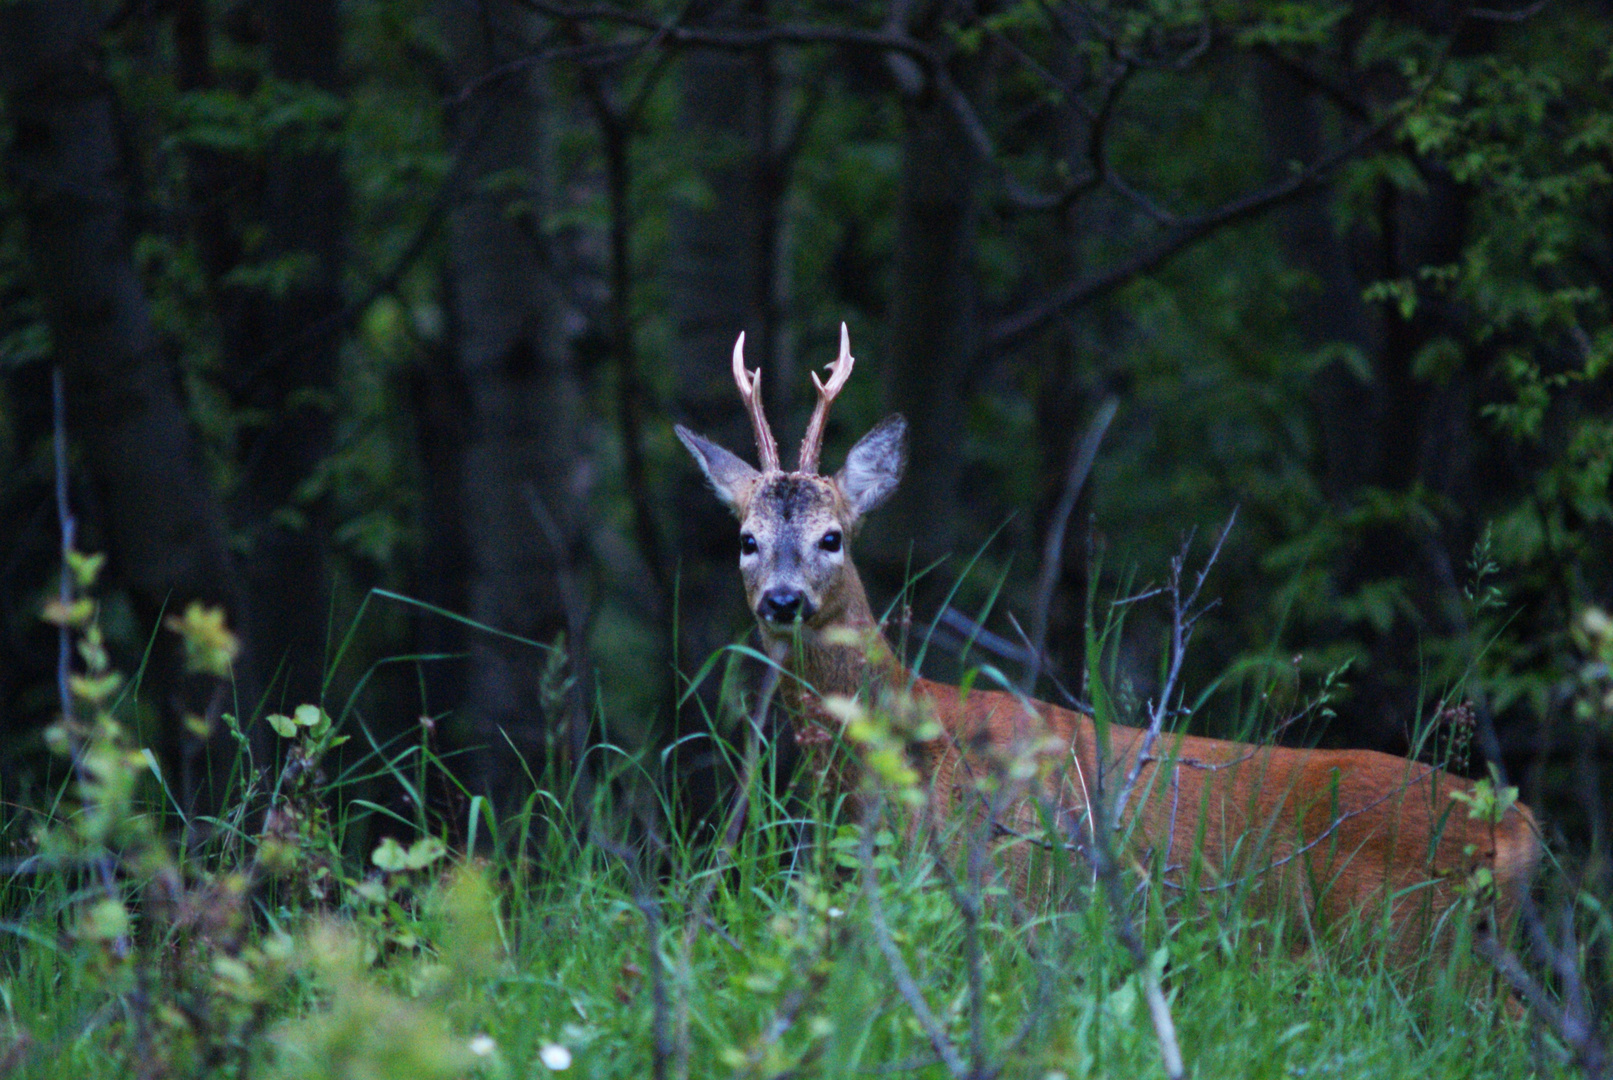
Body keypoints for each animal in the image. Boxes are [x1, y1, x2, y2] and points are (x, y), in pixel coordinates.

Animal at [674, 325, 1542, 967]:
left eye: (833, 537)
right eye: (746, 540)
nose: (783, 601)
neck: (908, 750)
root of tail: (1517, 827)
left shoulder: (1012, 897)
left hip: (1412, 942)